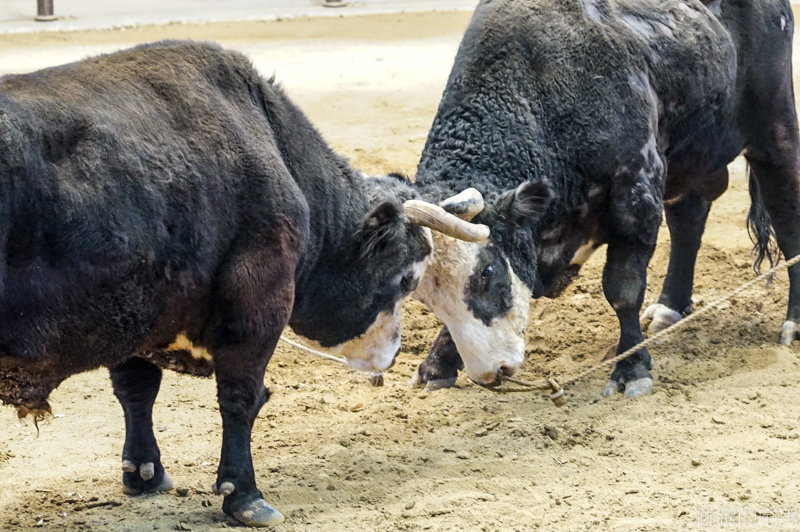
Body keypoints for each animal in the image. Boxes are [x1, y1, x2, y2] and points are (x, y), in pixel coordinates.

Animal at [0, 41, 488, 528]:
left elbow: (136, 389)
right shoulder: (257, 302)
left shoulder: (135, 314)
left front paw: (144, 472)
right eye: (405, 279)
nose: (392, 356)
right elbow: (240, 397)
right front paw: (243, 494)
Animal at [410, 0, 800, 396]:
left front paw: (631, 369)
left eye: (487, 272)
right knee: (689, 220)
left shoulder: (637, 197)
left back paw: (793, 324)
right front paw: (437, 364)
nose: (492, 372)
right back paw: (669, 308)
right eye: (423, 294)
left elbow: (623, 288)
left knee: (786, 217)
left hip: (774, 132)